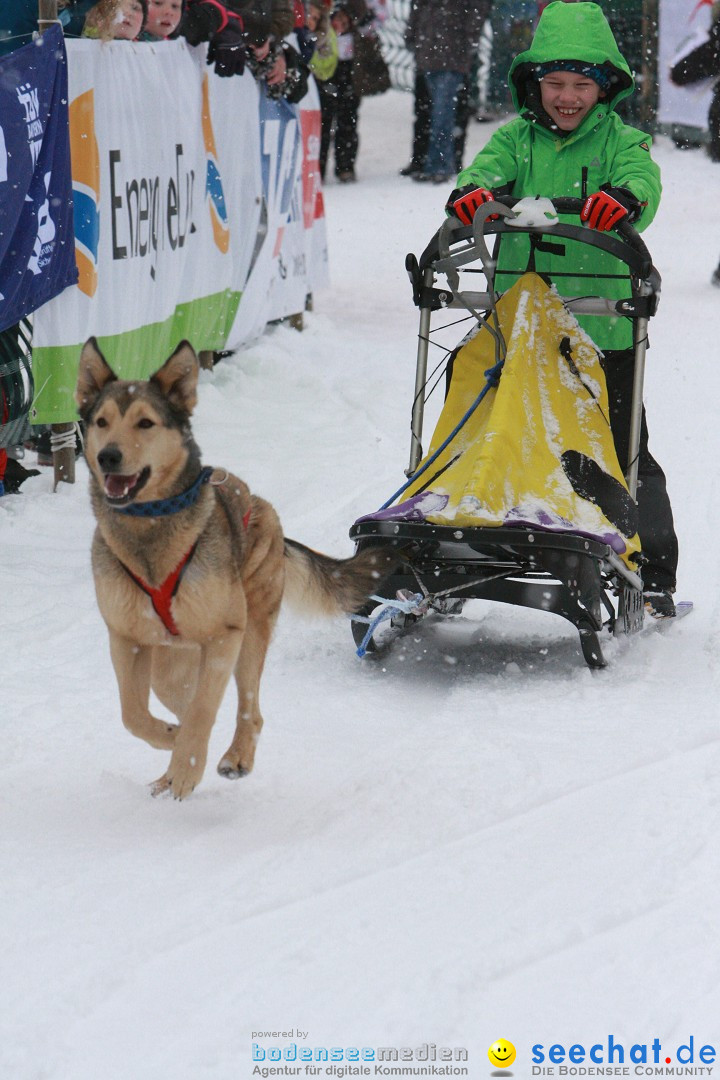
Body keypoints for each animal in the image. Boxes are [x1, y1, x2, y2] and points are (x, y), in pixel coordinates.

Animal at [76, 341, 397, 799]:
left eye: (145, 422)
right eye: (101, 422)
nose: (108, 456)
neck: (149, 534)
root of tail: (263, 507)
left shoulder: (223, 634)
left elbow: (203, 709)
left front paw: (188, 765)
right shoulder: (127, 638)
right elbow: (133, 714)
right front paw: (174, 743)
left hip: (250, 629)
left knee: (248, 707)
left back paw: (234, 756)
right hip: (171, 658)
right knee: (180, 695)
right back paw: (175, 756)